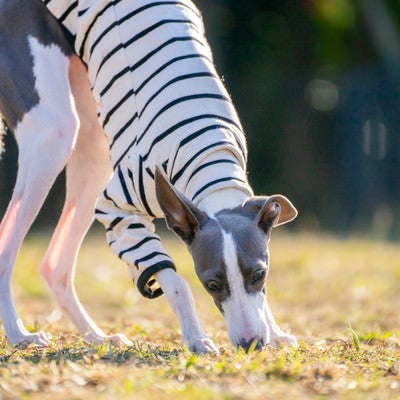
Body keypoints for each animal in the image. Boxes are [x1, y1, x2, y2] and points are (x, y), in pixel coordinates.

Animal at [0, 0, 296, 354]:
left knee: (55, 265)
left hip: (93, 139)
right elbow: (175, 281)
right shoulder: (118, 210)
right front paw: (196, 337)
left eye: (259, 275)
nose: (251, 343)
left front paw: (275, 332)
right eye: (212, 283)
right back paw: (19, 333)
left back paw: (96, 336)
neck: (209, 159)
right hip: (50, 133)